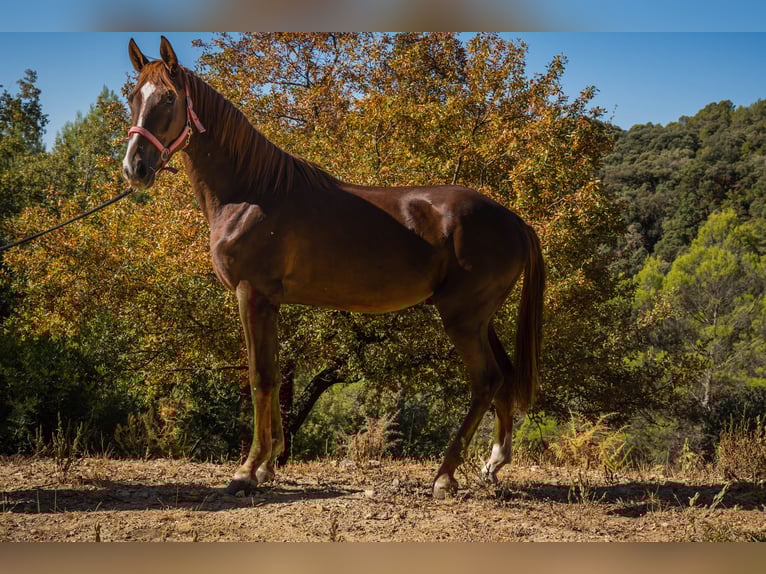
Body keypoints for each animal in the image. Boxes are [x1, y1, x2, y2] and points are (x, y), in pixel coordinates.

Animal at [122, 36, 545, 499]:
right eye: (133, 97)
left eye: (168, 98)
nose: (135, 168)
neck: (251, 193)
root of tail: (514, 220)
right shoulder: (270, 302)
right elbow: (273, 375)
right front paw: (267, 465)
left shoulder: (251, 294)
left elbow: (260, 377)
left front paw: (246, 471)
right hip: (479, 318)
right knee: (504, 377)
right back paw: (493, 464)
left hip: (462, 319)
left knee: (485, 381)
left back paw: (444, 475)